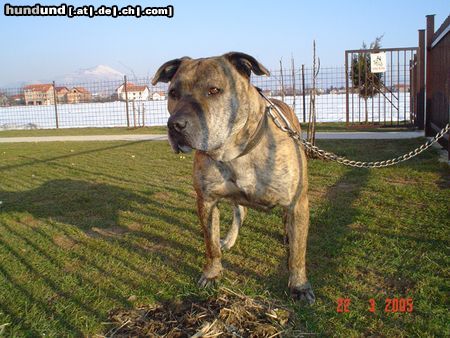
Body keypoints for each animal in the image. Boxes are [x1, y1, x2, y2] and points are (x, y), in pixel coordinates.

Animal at [153, 52, 314, 304]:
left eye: (214, 90)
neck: (234, 152)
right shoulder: (207, 201)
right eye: (173, 93)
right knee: (240, 212)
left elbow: (298, 254)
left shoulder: (298, 202)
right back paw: (229, 239)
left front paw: (299, 286)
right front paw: (212, 274)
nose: (175, 125)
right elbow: (211, 244)